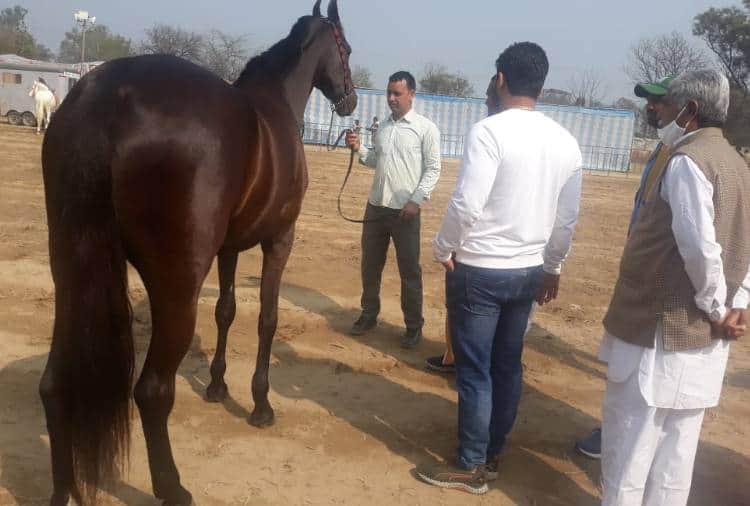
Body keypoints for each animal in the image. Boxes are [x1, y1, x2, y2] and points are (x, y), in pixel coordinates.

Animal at [39, 1, 356, 504]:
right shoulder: (279, 240)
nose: (351, 100)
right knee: (152, 391)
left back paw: (64, 488)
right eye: (346, 50)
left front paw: (217, 385)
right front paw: (260, 404)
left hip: (71, 270)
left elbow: (226, 311)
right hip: (176, 287)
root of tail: (108, 99)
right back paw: (172, 487)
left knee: (54, 384)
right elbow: (267, 318)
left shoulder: (229, 248)